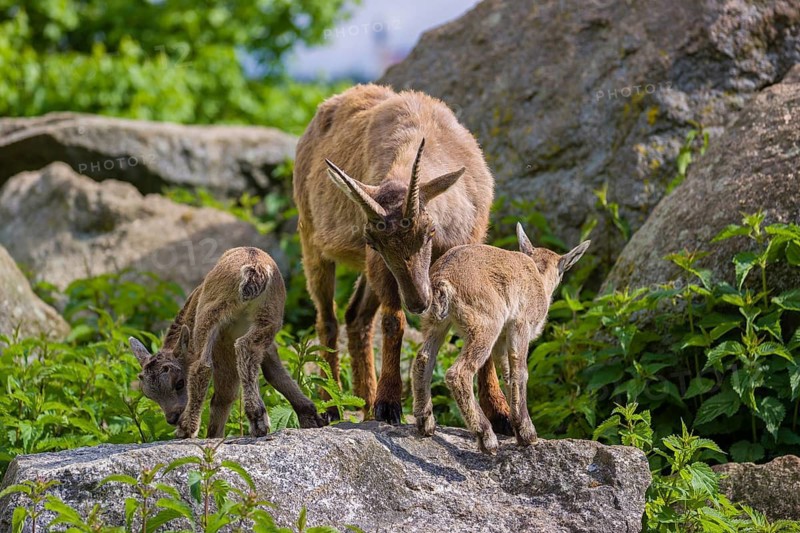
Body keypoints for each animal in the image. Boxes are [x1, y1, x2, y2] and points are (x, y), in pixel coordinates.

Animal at [129, 247, 326, 438]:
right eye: (148, 394)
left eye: (179, 383)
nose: (172, 418)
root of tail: (254, 272)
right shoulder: (269, 347)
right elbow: (275, 374)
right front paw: (311, 417)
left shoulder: (222, 346)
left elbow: (225, 394)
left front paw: (213, 435)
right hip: (269, 316)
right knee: (247, 347)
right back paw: (258, 421)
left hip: (211, 313)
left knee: (203, 367)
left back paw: (187, 429)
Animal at [293, 84, 511, 427]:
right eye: (373, 241)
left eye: (429, 231)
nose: (419, 301)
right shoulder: (380, 265)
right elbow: (393, 322)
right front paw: (389, 404)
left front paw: (500, 414)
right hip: (312, 241)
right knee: (328, 319)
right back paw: (333, 406)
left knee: (356, 317)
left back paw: (365, 404)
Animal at [412, 224, 590, 453]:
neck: (538, 276)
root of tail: (442, 279)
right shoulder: (520, 325)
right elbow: (520, 372)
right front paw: (527, 434)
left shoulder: (502, 340)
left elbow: (507, 373)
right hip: (486, 324)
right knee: (458, 373)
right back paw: (487, 437)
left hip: (436, 323)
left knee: (423, 359)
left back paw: (426, 424)